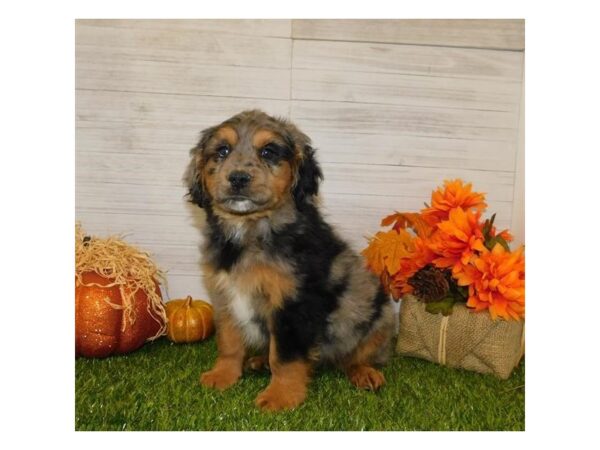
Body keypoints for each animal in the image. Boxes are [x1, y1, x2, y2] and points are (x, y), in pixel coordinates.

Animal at [185, 110, 396, 412]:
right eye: (222, 150)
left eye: (268, 152)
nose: (238, 178)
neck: (249, 231)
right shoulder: (224, 296)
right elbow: (229, 342)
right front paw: (222, 376)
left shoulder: (293, 304)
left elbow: (285, 356)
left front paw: (280, 397)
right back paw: (259, 361)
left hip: (378, 315)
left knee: (356, 355)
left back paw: (364, 373)